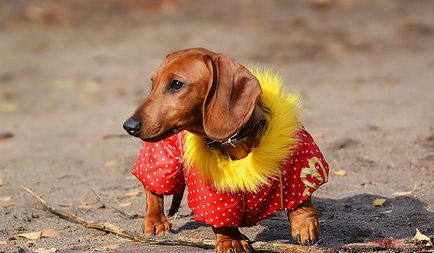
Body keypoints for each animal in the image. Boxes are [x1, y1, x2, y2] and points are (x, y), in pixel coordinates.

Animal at [125, 48, 322, 253]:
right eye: (152, 83)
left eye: (177, 84)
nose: (129, 126)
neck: (235, 140)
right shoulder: (212, 192)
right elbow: (222, 218)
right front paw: (231, 239)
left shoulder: (298, 159)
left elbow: (302, 195)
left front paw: (304, 222)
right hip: (162, 156)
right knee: (152, 187)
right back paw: (154, 220)